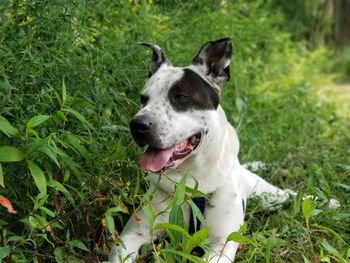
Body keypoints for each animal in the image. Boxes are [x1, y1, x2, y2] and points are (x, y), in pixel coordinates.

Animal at [110, 38, 338, 262]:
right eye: (143, 99)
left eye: (181, 97)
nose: (137, 125)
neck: (191, 177)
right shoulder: (132, 236)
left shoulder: (222, 244)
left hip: (268, 196)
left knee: (291, 195)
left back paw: (326, 202)